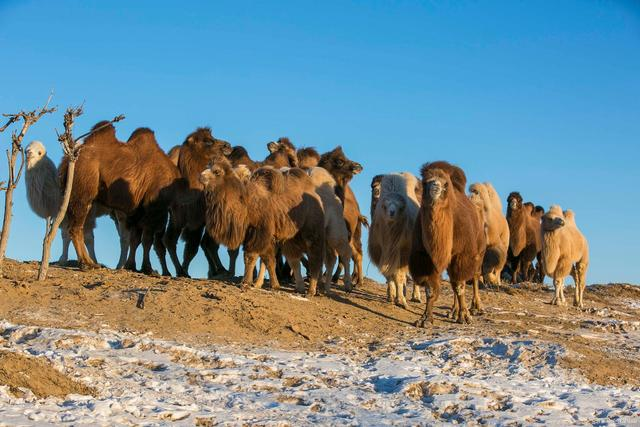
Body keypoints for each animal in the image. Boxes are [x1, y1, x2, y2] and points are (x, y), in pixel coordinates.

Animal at [201, 159, 324, 296]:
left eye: (217, 171)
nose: (201, 176)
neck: (246, 203)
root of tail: (315, 194)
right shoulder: (262, 235)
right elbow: (268, 259)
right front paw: (274, 285)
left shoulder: (259, 231)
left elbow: (251, 256)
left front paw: (246, 282)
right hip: (290, 237)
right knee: (294, 258)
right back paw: (300, 288)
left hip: (312, 231)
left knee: (315, 257)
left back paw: (311, 290)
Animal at [368, 172, 422, 310]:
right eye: (373, 188)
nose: (376, 192)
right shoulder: (382, 251)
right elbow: (389, 274)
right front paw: (392, 296)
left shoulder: (402, 252)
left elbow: (399, 275)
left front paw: (401, 300)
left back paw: (416, 297)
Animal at [410, 161, 484, 328]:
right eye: (425, 182)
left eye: (445, 184)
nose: (435, 186)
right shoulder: (426, 257)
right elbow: (430, 289)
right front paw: (425, 319)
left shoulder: (462, 255)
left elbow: (460, 286)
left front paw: (464, 316)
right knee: (452, 280)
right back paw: (453, 311)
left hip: (478, 252)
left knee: (474, 276)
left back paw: (475, 308)